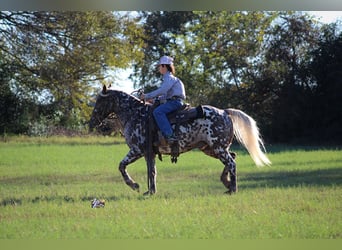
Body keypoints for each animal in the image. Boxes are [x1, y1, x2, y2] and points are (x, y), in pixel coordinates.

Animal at [89, 85, 272, 195]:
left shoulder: (137, 150)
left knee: (232, 163)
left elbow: (122, 166)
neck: (135, 114)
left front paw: (134, 185)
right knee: (232, 158)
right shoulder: (149, 153)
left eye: (100, 101)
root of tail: (225, 112)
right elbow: (152, 171)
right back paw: (226, 183)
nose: (92, 121)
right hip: (210, 148)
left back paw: (232, 188)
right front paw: (151, 191)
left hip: (218, 148)